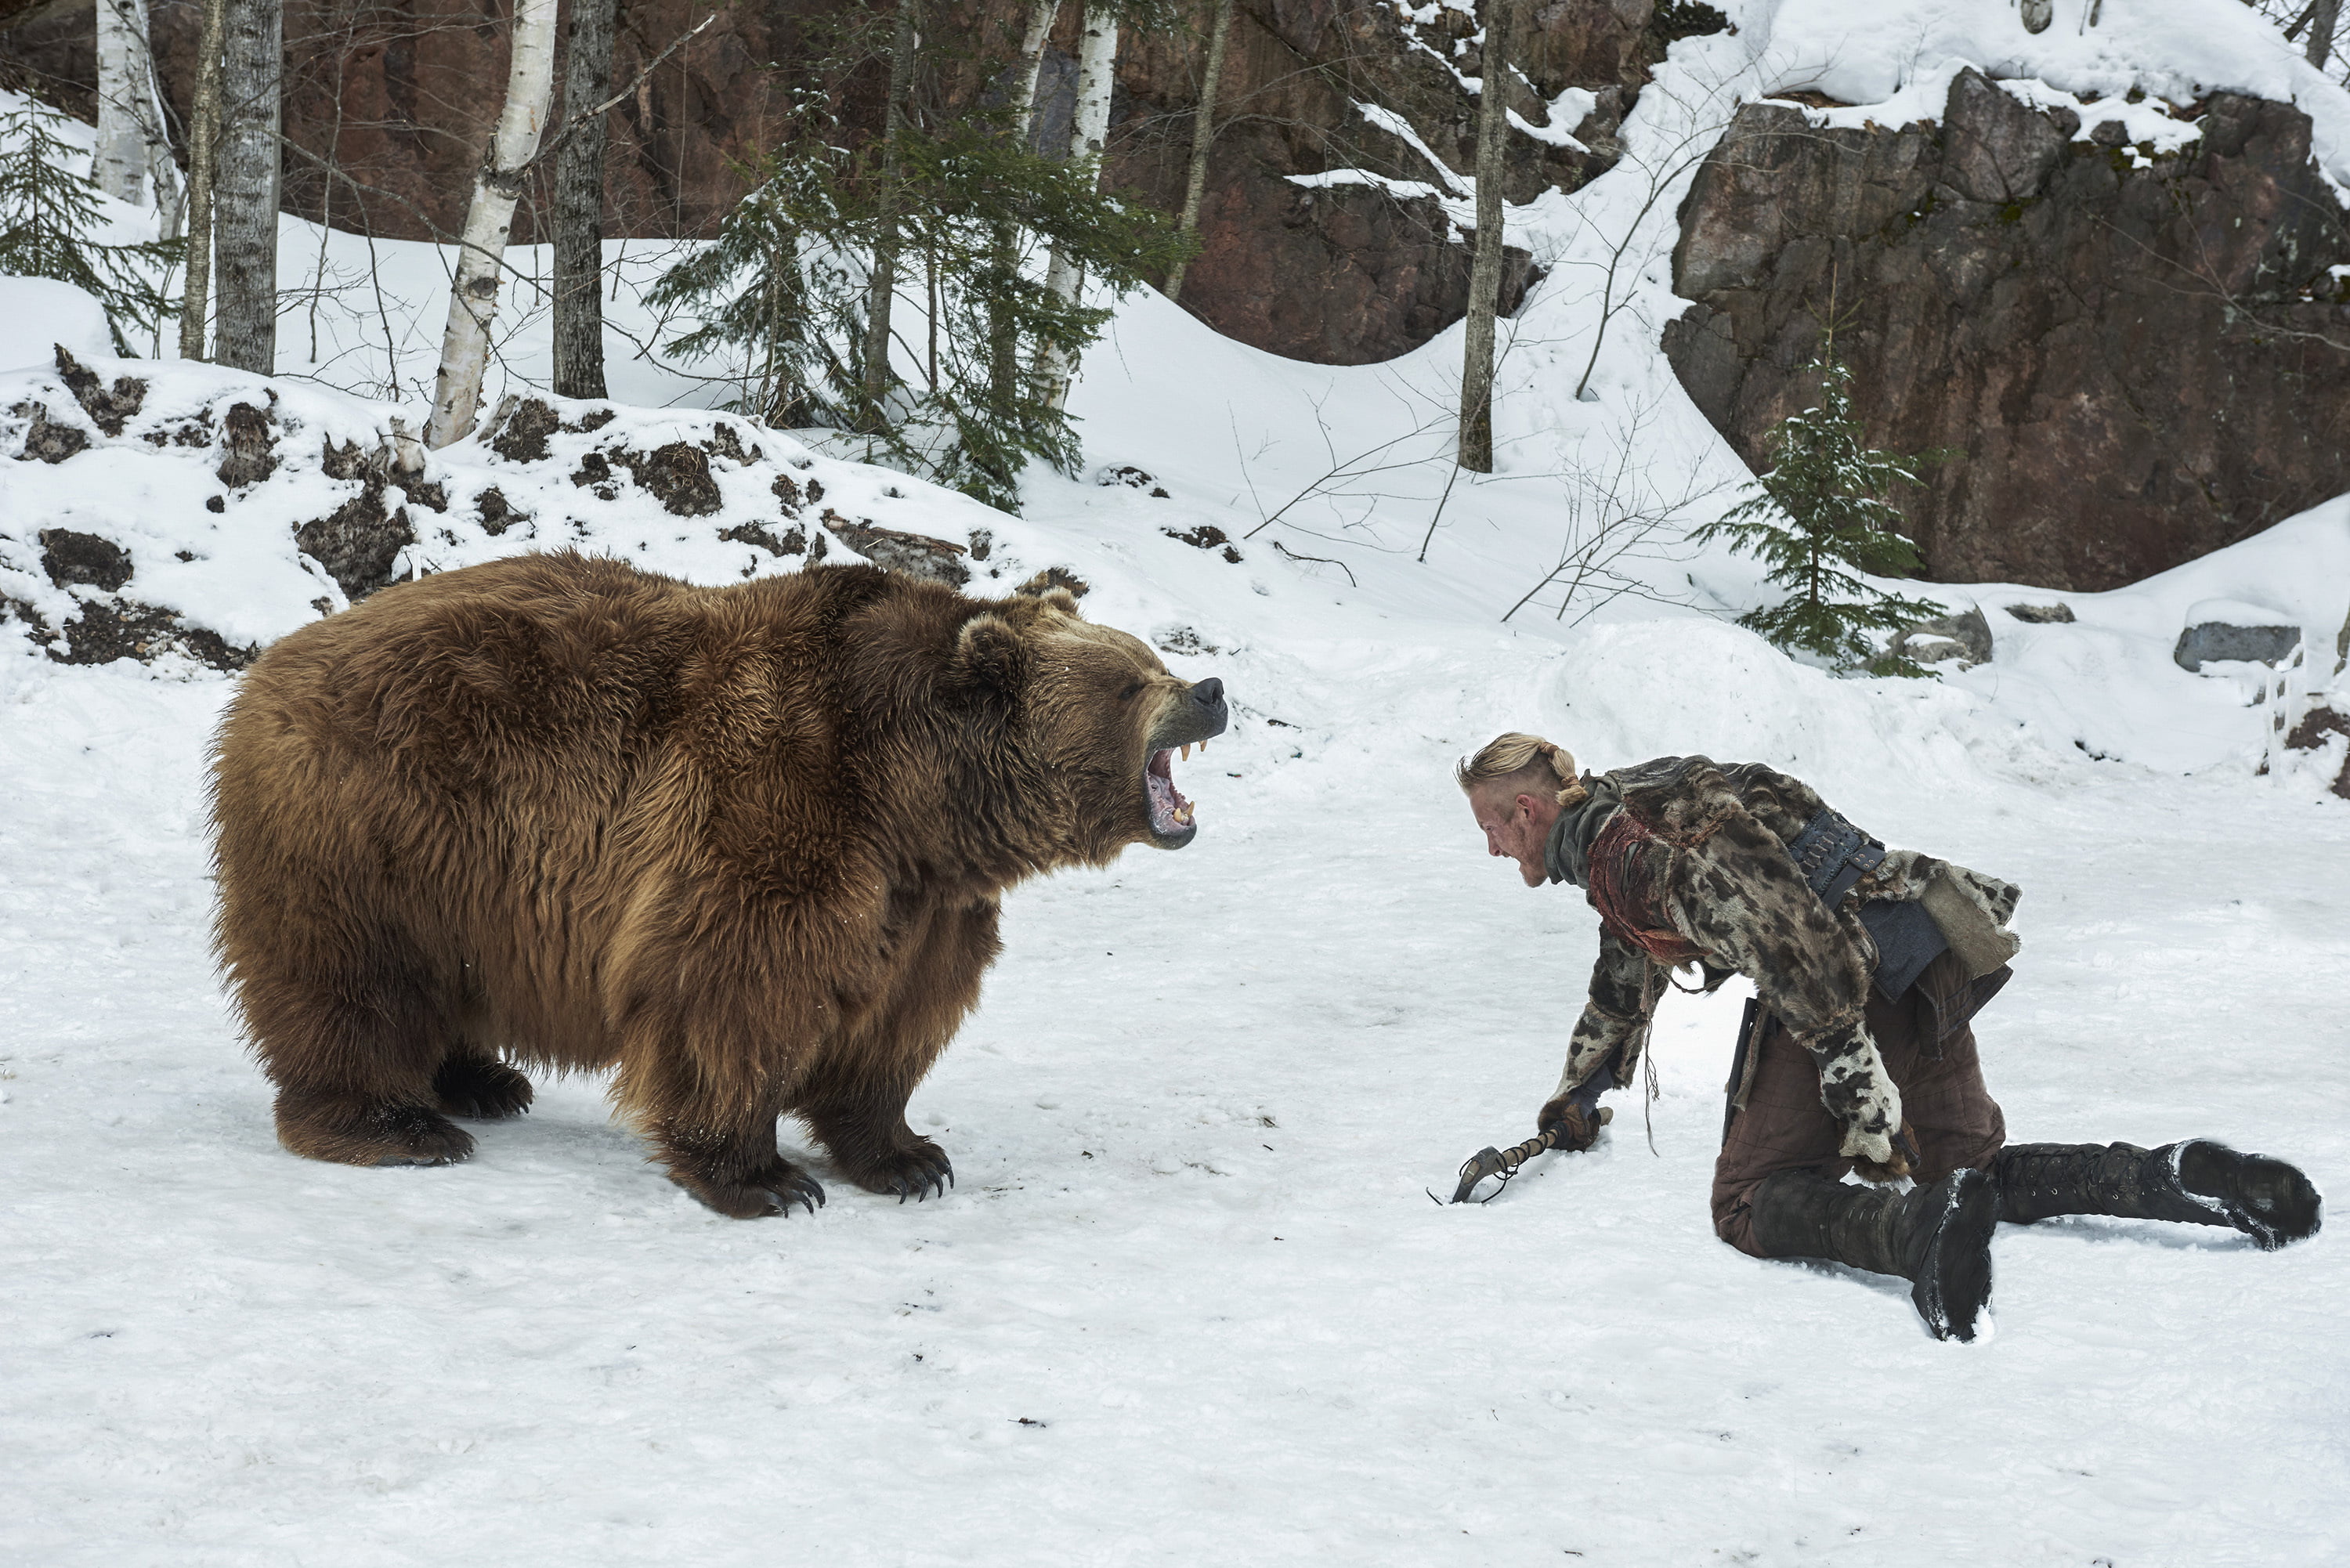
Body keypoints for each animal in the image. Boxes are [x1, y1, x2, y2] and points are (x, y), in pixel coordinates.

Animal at [208, 551, 1229, 1217]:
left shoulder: (927, 901)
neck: (918, 797)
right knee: (351, 976)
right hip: (377, 825)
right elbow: (734, 989)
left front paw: (909, 1156)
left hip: (455, 871)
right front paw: (766, 1178)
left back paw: (483, 1080)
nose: (1211, 688)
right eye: (1129, 679)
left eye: (1151, 656)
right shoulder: (778, 805)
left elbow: (899, 1020)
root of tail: (270, 664)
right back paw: (394, 1123)